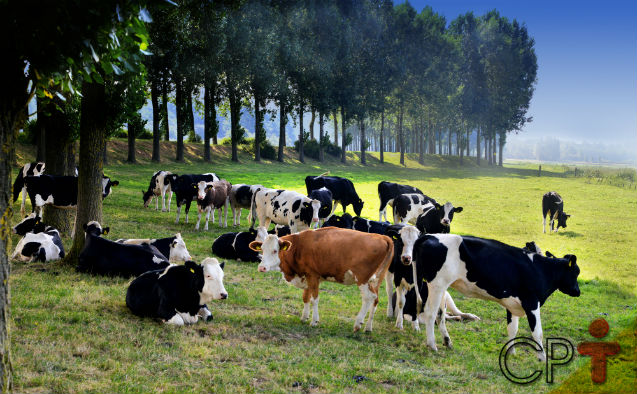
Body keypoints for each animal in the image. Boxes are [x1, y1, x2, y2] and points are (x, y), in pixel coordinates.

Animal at [248, 228, 392, 332]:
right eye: (262, 249)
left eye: (274, 251)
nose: (262, 267)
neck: (298, 247)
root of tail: (381, 237)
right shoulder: (306, 276)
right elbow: (306, 297)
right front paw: (304, 317)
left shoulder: (313, 276)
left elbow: (314, 299)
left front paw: (314, 321)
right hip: (375, 280)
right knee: (375, 299)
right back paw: (368, 327)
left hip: (362, 278)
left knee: (368, 297)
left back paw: (358, 323)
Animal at [404, 232, 580, 358]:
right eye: (576, 272)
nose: (578, 292)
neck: (540, 269)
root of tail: (429, 235)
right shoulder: (531, 303)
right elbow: (537, 333)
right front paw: (542, 358)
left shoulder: (512, 304)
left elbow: (512, 329)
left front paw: (511, 352)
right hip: (437, 285)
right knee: (430, 314)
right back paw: (432, 345)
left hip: (441, 288)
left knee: (440, 315)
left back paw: (447, 342)